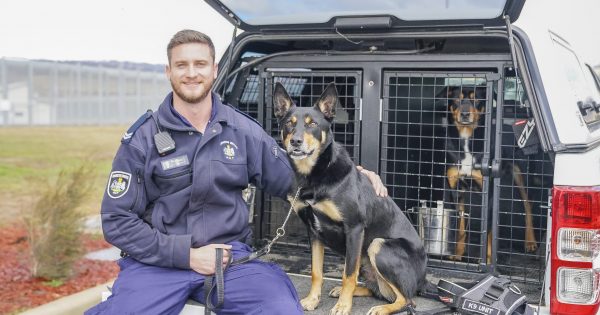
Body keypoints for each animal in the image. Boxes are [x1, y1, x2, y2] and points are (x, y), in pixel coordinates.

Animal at [274, 82, 428, 314]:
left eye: (312, 125)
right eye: (288, 124)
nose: (295, 141)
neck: (315, 175)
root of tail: (423, 280)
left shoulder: (354, 228)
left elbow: (348, 274)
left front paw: (343, 306)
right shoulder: (314, 231)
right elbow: (316, 271)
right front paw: (312, 300)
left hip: (377, 245)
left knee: (406, 299)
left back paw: (380, 308)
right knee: (378, 290)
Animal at [446, 90, 540, 262]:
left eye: (477, 99)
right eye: (456, 99)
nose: (464, 114)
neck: (466, 139)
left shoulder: (488, 194)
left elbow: (488, 230)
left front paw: (487, 260)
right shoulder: (457, 192)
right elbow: (461, 227)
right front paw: (458, 254)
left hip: (521, 176)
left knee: (527, 205)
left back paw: (530, 242)